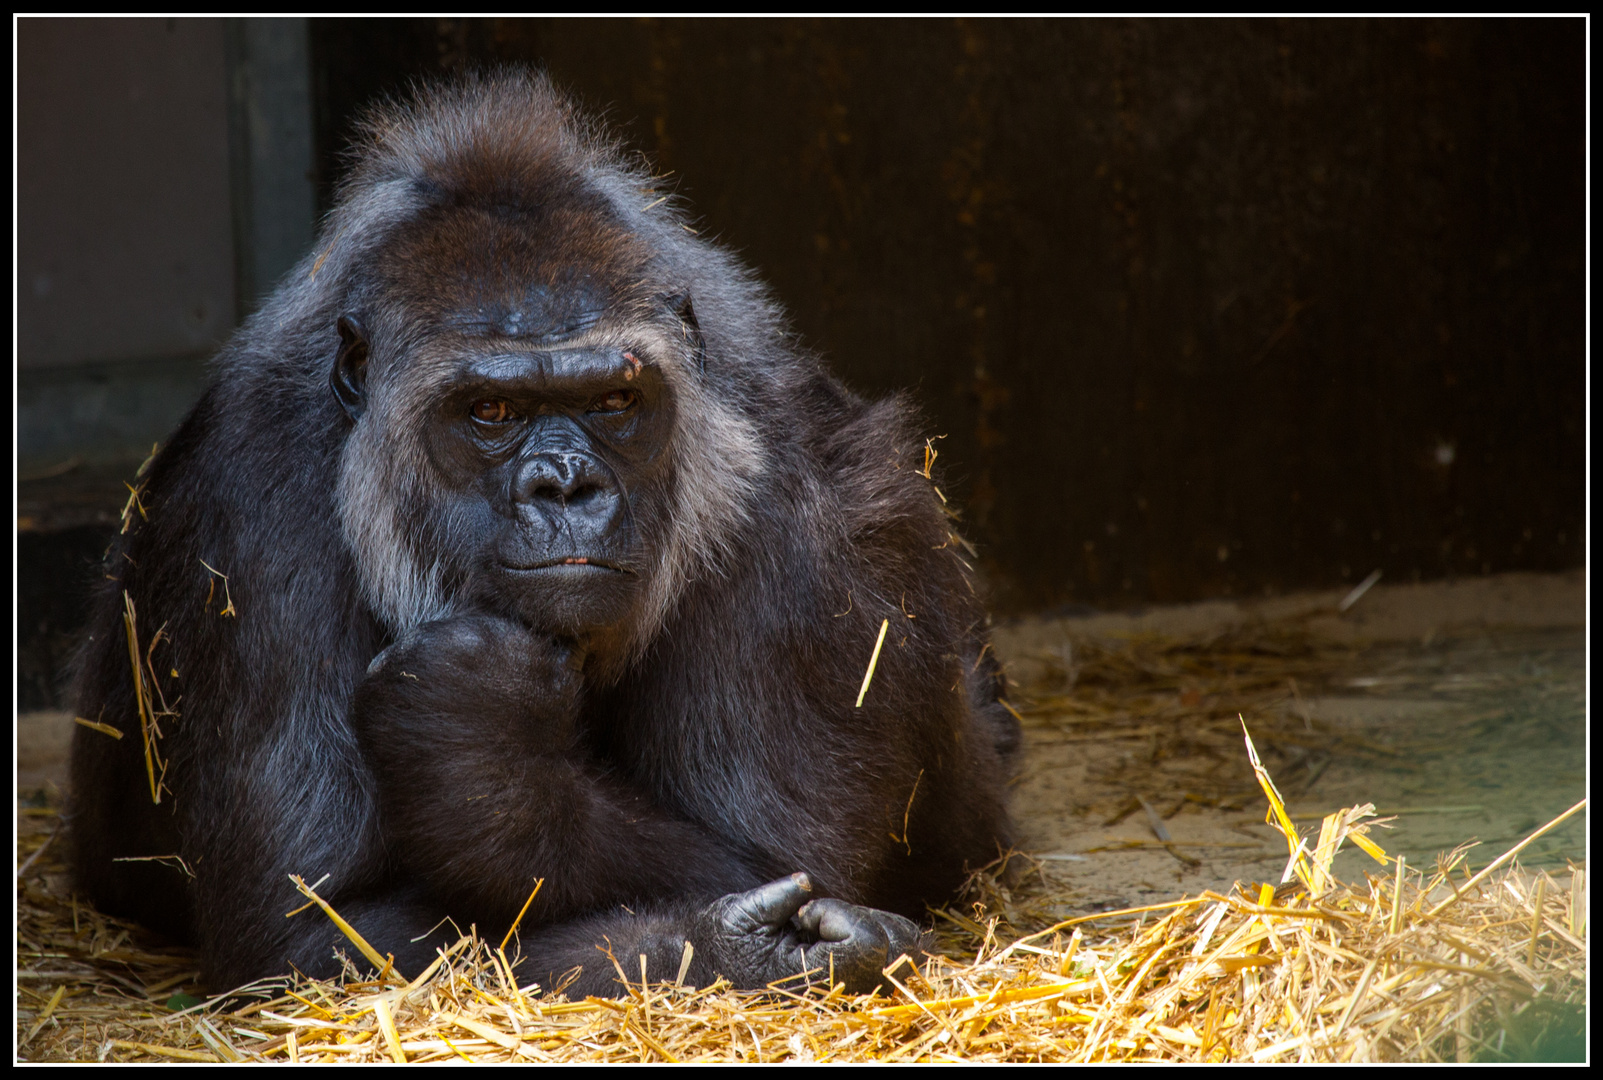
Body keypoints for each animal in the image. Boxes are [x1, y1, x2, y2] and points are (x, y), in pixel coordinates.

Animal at [68, 75, 1013, 999]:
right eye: (491, 411)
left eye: (613, 401)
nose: (565, 485)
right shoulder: (254, 503)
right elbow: (315, 930)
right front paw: (755, 949)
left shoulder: (792, 489)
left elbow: (781, 853)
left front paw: (486, 760)